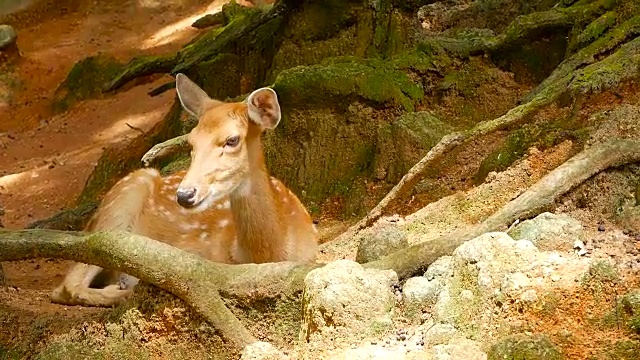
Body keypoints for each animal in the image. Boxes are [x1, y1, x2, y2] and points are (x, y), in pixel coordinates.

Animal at [48, 72, 318, 306]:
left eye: (232, 140)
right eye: (190, 142)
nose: (185, 194)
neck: (268, 253)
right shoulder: (192, 255)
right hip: (120, 205)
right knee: (67, 284)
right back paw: (122, 290)